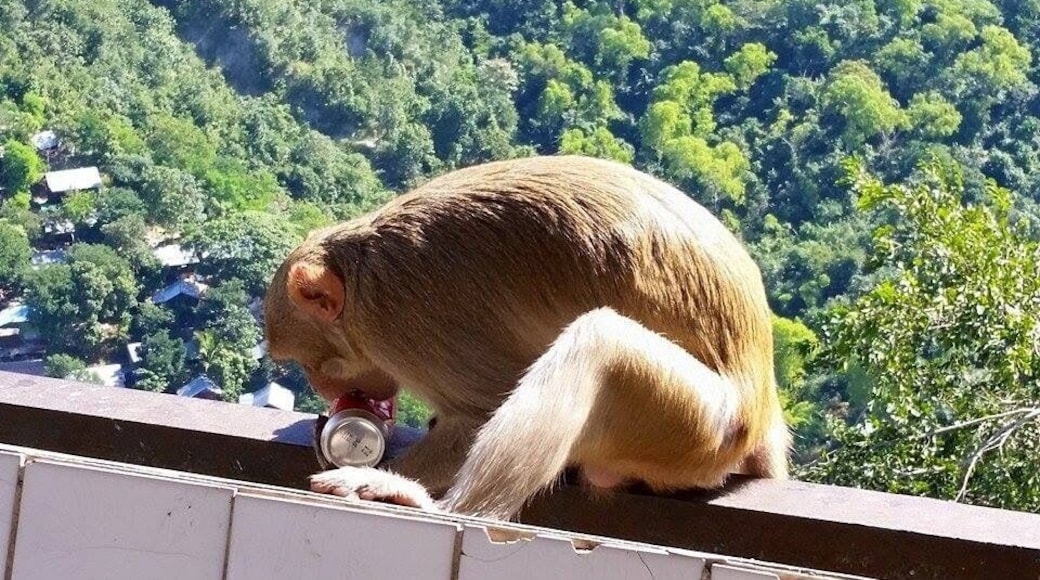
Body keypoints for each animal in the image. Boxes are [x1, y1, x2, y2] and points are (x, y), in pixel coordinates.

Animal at [263, 154, 790, 522]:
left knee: (597, 341)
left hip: (698, 427)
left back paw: (437, 506)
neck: (361, 271)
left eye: (314, 364)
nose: (326, 389)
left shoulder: (405, 323)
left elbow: (479, 413)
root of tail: (760, 404)